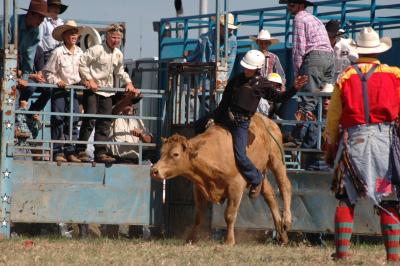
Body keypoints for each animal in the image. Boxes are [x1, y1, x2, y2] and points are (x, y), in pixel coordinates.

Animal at [150, 113, 290, 244]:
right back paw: (282, 233)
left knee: (285, 186)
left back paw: (287, 221)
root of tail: (268, 121)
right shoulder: (199, 188)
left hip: (276, 159)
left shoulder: (236, 186)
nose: (154, 171)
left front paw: (229, 240)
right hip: (260, 170)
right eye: (162, 152)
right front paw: (191, 239)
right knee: (269, 195)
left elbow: (229, 215)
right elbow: (198, 216)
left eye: (175, 154)